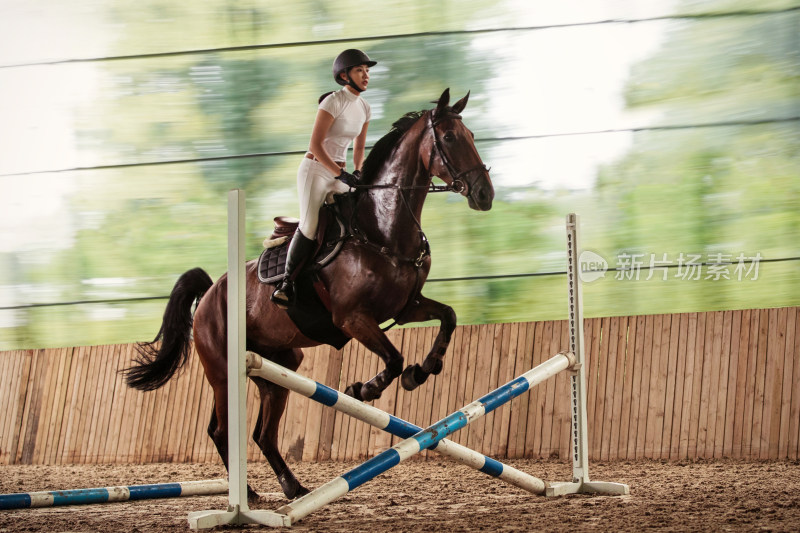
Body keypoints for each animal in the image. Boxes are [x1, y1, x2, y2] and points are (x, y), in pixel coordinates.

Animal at [123, 87, 494, 498]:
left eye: (472, 135)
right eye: (450, 137)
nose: (484, 194)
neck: (381, 227)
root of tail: (208, 295)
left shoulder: (406, 307)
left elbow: (448, 317)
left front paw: (423, 371)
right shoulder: (352, 318)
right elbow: (394, 359)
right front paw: (366, 388)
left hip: (278, 367)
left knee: (262, 433)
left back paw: (293, 487)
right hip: (223, 371)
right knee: (223, 430)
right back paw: (249, 494)